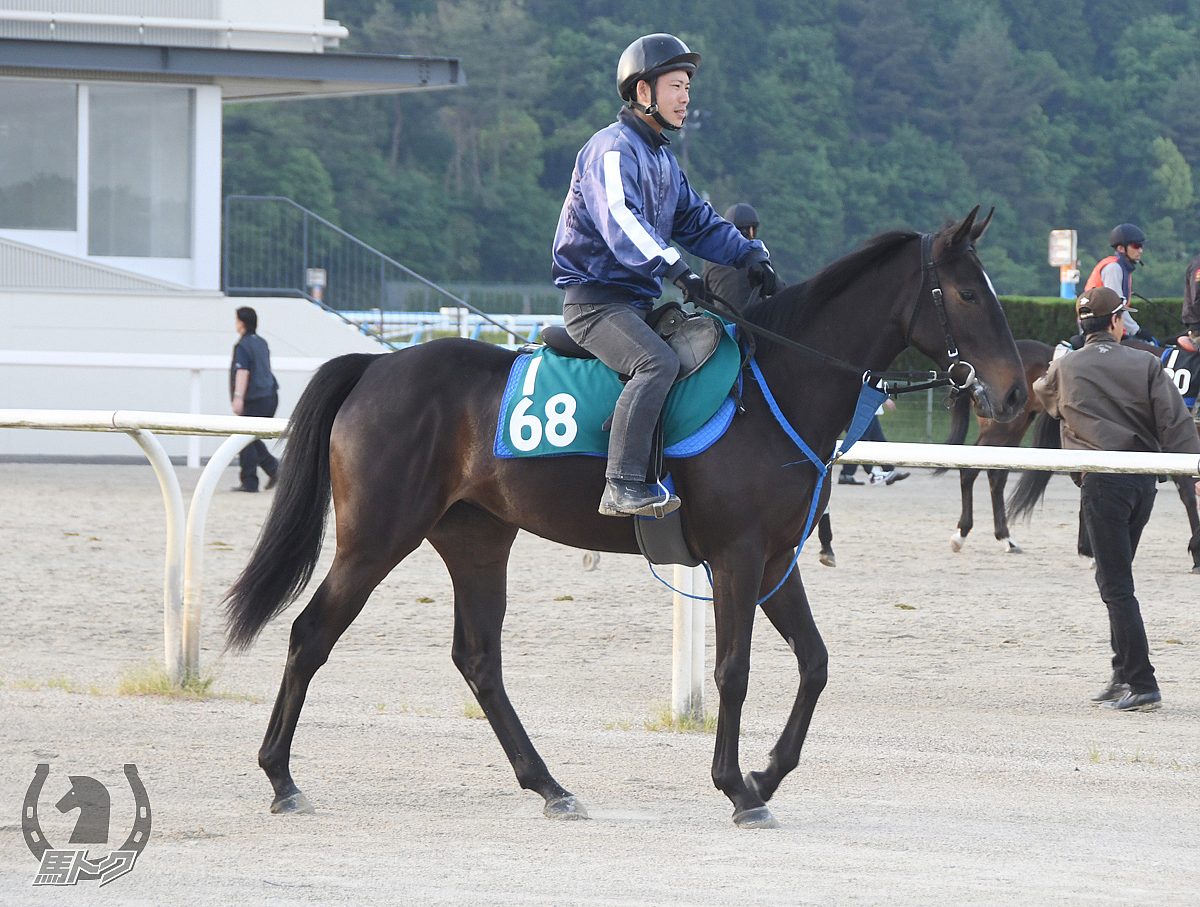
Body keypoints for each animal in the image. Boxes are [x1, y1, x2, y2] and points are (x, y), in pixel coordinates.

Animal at [223, 205, 1022, 830]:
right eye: (966, 292)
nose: (1015, 392)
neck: (775, 387)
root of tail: (377, 364)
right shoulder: (735, 557)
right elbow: (734, 668)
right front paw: (737, 788)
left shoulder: (774, 560)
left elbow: (816, 663)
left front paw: (765, 772)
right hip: (376, 538)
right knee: (311, 633)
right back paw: (281, 777)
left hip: (477, 540)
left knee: (479, 659)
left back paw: (550, 785)